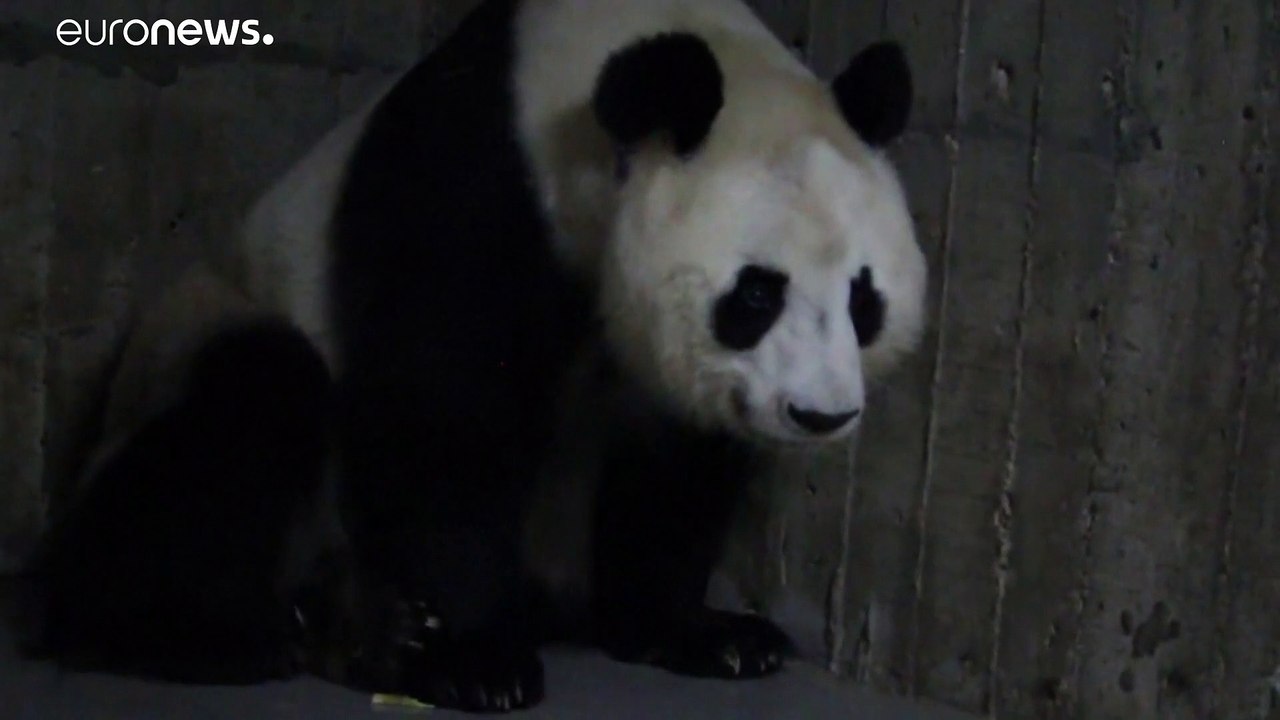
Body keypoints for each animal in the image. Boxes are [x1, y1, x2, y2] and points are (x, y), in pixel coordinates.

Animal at [29, 0, 926, 713]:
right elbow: (444, 417)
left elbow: (676, 461)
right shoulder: (471, 182)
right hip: (201, 332)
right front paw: (474, 660)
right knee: (246, 402)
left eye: (863, 298)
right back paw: (227, 632)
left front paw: (703, 633)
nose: (821, 413)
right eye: (756, 295)